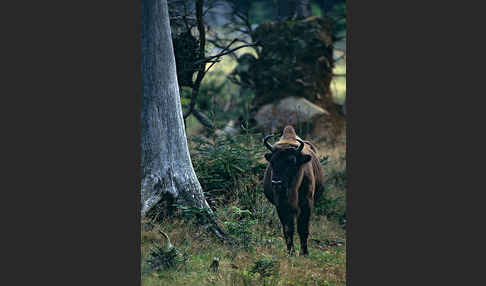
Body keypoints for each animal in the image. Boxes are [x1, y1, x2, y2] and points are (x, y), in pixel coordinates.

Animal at [262, 126, 326, 256]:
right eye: (272, 161)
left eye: (291, 161)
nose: (277, 183)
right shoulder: (281, 206)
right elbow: (288, 228)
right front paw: (291, 252)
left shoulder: (306, 204)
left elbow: (303, 228)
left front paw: (304, 253)